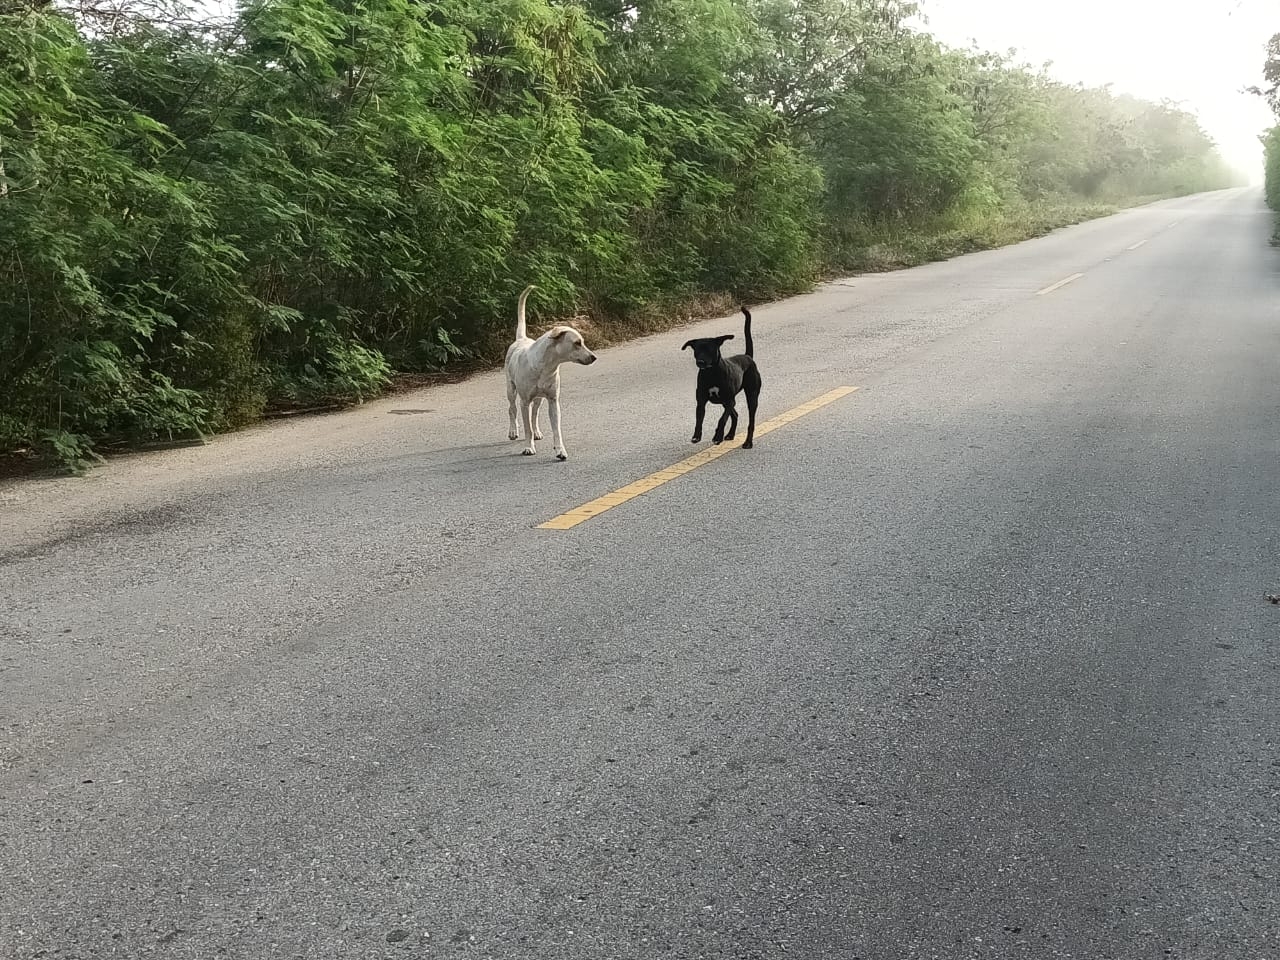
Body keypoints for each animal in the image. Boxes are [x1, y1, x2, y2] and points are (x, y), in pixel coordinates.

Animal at [501, 284, 596, 460]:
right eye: (577, 343)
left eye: (583, 342)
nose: (594, 357)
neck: (546, 367)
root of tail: (521, 338)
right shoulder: (524, 402)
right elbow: (526, 429)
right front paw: (528, 447)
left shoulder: (553, 401)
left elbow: (556, 429)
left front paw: (560, 450)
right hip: (511, 390)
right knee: (512, 409)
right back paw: (513, 431)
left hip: (539, 399)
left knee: (535, 414)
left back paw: (537, 432)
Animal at [680, 308, 757, 450]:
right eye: (696, 350)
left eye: (710, 349)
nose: (700, 362)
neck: (711, 373)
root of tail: (747, 357)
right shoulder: (701, 401)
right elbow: (699, 419)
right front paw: (696, 436)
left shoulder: (729, 400)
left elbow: (722, 419)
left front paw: (717, 437)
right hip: (726, 402)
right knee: (735, 415)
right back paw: (730, 434)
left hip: (751, 395)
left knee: (751, 421)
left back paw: (748, 442)